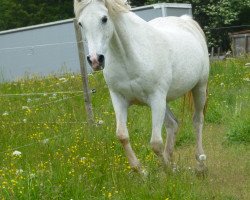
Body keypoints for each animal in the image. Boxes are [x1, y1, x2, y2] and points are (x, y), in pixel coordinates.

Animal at [73, 0, 209, 173]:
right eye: (80, 23)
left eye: (104, 19)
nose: (95, 60)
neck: (130, 56)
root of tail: (186, 20)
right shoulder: (119, 98)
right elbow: (122, 136)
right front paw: (142, 171)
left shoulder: (156, 98)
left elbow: (155, 143)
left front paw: (167, 171)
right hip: (165, 101)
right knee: (173, 124)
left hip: (199, 88)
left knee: (197, 121)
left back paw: (201, 164)